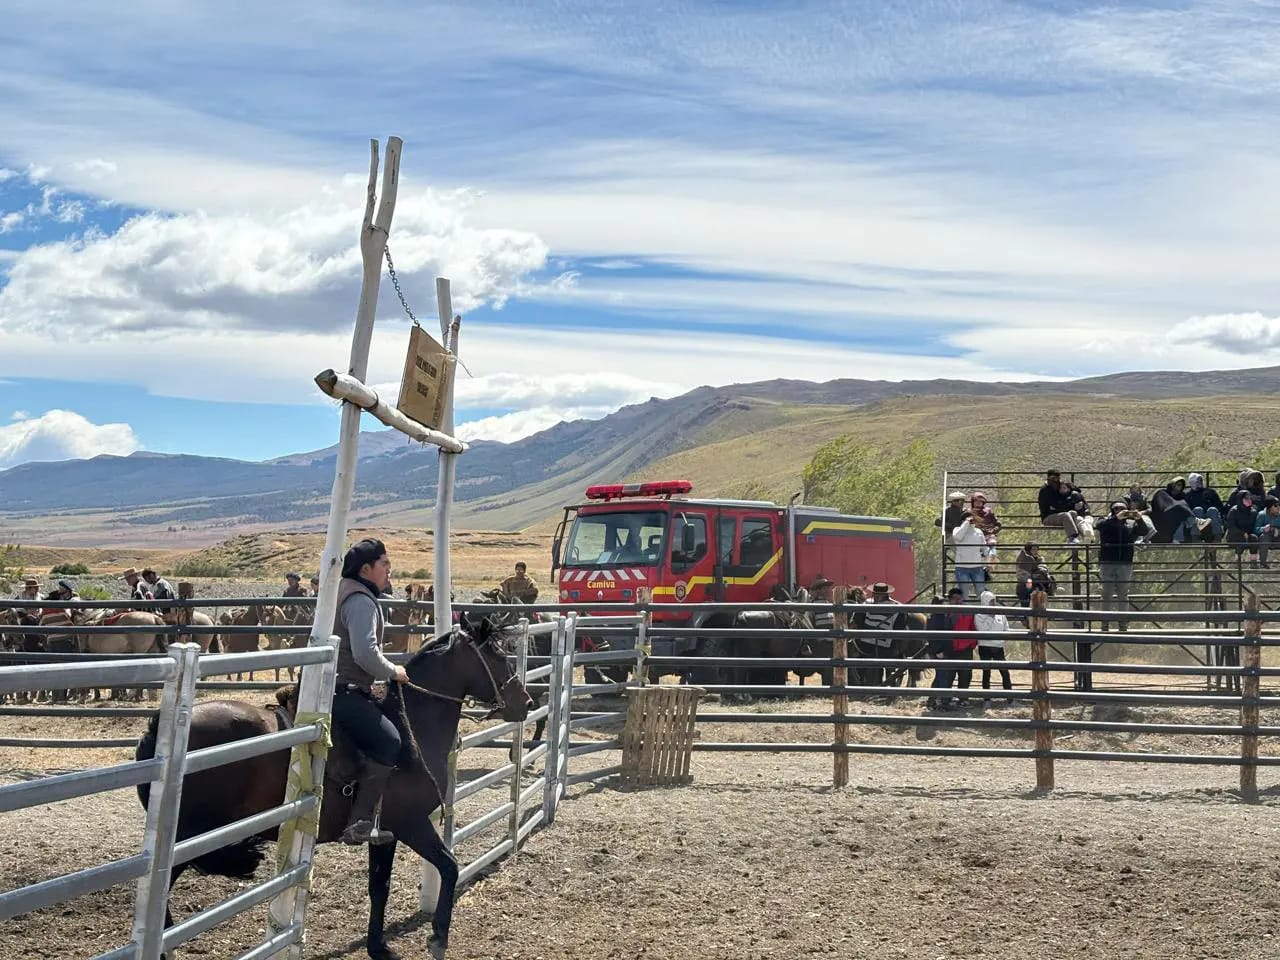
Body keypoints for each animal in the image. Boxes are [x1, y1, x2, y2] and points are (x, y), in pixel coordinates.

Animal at [138, 616, 535, 960]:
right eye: (497, 655)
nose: (526, 702)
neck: (412, 726)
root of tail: (159, 727)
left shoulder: (385, 833)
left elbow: (379, 888)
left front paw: (379, 948)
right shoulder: (411, 824)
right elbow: (450, 866)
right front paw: (438, 937)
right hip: (187, 838)